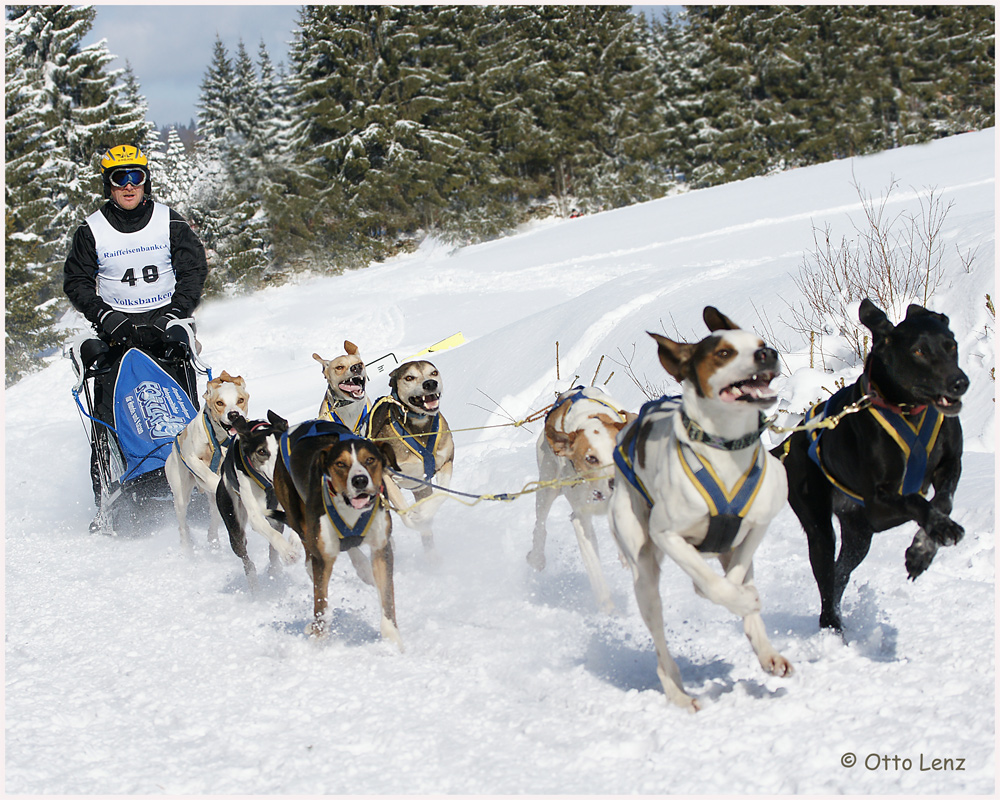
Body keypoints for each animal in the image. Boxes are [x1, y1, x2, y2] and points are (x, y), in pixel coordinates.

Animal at [165, 372, 249, 552]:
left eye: (240, 400)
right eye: (219, 403)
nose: (233, 414)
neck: (218, 437)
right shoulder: (191, 457)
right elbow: (207, 474)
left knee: (214, 518)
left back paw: (213, 539)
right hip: (180, 495)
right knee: (182, 525)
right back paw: (186, 547)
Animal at [370, 360, 456, 552]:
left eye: (433, 372)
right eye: (409, 377)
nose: (430, 384)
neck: (419, 426)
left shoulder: (445, 462)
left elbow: (442, 494)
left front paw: (424, 512)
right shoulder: (387, 476)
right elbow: (405, 513)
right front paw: (416, 519)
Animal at [524, 386, 632, 612]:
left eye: (616, 448)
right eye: (591, 458)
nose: (614, 481)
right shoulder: (580, 518)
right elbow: (595, 571)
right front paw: (608, 607)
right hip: (548, 485)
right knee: (540, 524)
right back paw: (537, 557)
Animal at [604, 308, 792, 712]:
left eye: (759, 343)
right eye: (723, 353)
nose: (767, 353)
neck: (726, 448)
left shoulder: (758, 524)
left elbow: (735, 576)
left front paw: (742, 599)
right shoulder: (667, 534)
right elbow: (709, 584)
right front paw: (725, 594)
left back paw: (768, 652)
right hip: (644, 573)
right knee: (660, 644)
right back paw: (676, 691)